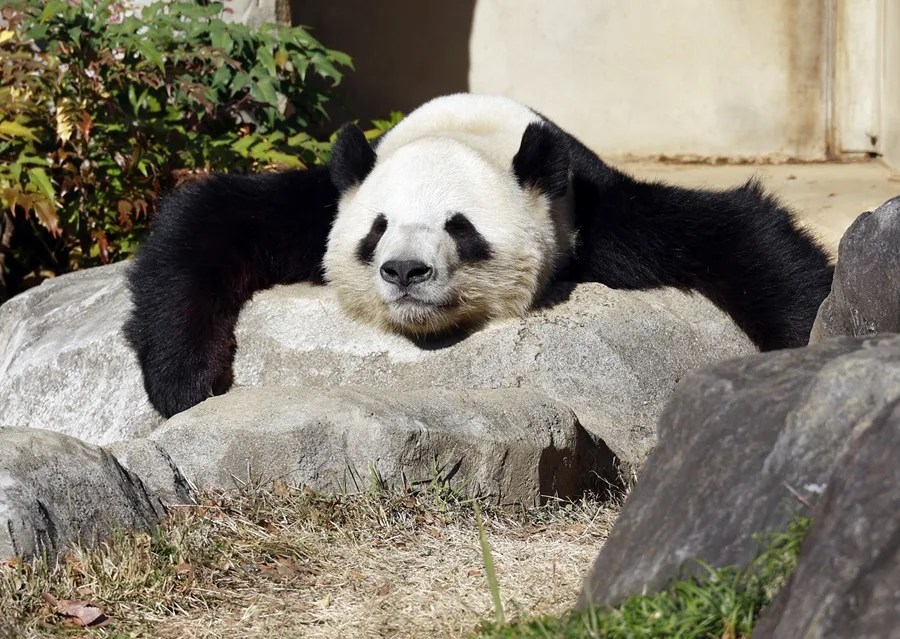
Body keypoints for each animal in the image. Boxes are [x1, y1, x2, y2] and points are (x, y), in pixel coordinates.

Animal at [124, 93, 834, 419]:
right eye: (378, 230)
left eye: (460, 229)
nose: (405, 271)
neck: (469, 127)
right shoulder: (326, 200)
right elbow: (209, 218)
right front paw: (184, 380)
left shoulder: (587, 210)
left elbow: (733, 233)